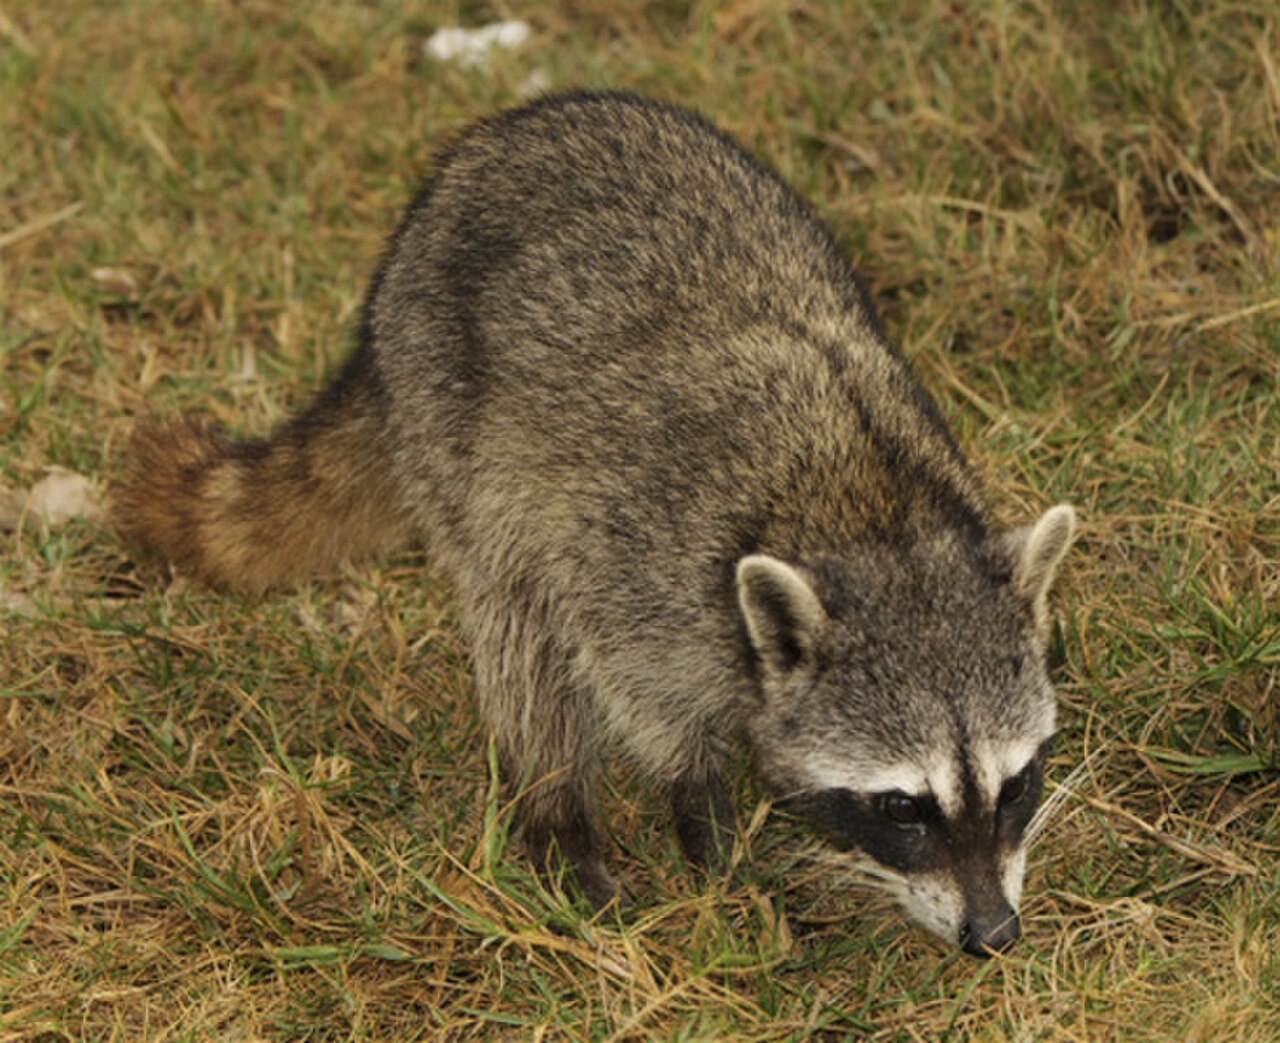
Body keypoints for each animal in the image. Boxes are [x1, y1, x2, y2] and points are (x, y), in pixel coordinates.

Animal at [113, 91, 1077, 957]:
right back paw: (558, 811)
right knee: (518, 630)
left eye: (1014, 785)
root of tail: (499, 138)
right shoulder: (641, 564)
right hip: (453, 416)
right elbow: (645, 702)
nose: (995, 934)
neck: (875, 517)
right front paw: (707, 834)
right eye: (904, 806)